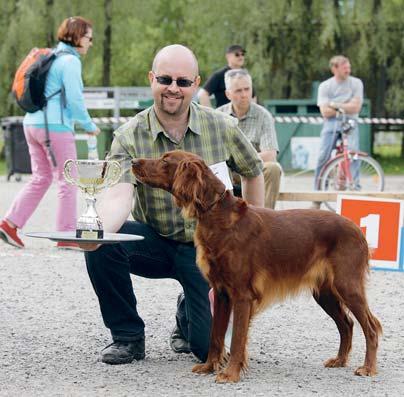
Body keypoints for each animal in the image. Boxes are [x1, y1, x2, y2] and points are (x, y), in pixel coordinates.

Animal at [131, 148, 380, 380]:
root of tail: (357, 229)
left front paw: (230, 374)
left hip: (347, 285)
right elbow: (215, 336)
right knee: (347, 324)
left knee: (371, 326)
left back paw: (367, 368)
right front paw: (210, 367)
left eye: (165, 160)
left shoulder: (242, 295)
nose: (133, 161)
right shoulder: (221, 292)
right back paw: (340, 360)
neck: (216, 212)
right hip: (325, 292)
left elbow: (237, 339)